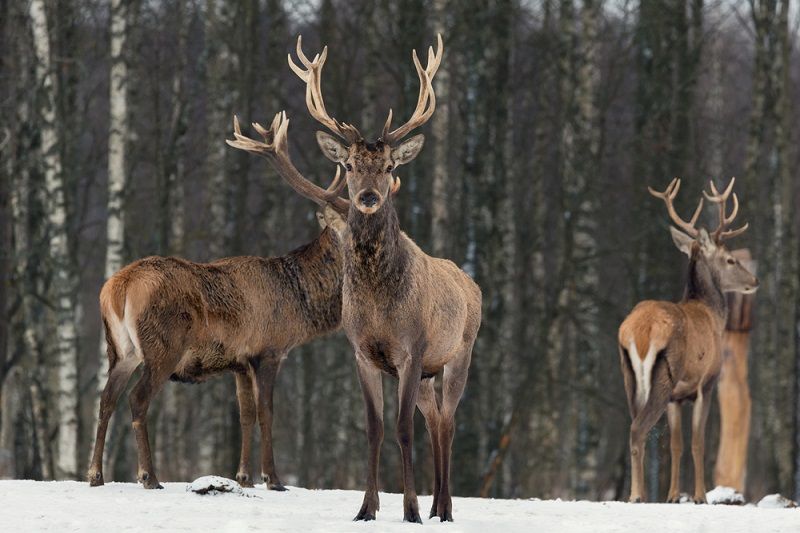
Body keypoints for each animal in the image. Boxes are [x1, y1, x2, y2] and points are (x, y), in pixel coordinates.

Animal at [87, 115, 350, 490]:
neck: (299, 305)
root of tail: (118, 288)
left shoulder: (238, 361)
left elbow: (245, 414)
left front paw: (243, 476)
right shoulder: (268, 350)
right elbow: (266, 412)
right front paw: (273, 478)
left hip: (121, 348)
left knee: (106, 398)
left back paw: (95, 474)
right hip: (162, 345)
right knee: (137, 399)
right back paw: (149, 476)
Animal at [231, 34, 482, 524]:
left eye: (389, 167)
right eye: (349, 165)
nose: (366, 197)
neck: (379, 305)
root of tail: (472, 283)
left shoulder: (412, 349)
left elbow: (402, 428)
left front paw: (410, 510)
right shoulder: (363, 353)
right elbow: (375, 427)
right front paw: (366, 508)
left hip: (459, 352)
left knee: (448, 420)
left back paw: (444, 507)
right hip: (429, 372)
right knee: (435, 419)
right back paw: (438, 503)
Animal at [620, 178, 756, 502]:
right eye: (730, 259)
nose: (754, 281)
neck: (712, 314)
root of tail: (638, 331)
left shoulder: (677, 397)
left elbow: (676, 444)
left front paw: (672, 495)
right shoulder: (706, 383)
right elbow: (697, 442)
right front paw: (700, 496)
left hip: (629, 376)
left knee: (633, 426)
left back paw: (640, 492)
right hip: (664, 374)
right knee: (638, 429)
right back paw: (636, 495)